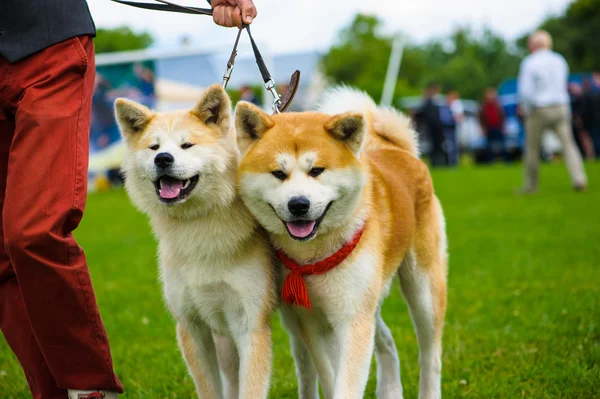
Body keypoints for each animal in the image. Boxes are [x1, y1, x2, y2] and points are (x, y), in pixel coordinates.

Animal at [113, 85, 276, 399]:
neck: (199, 224)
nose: (163, 159)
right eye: (154, 147)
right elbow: (210, 389)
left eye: (187, 145)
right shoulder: (192, 327)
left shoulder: (251, 325)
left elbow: (251, 388)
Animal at [234, 87, 446, 399]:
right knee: (387, 341)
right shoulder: (312, 322)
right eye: (278, 173)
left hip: (422, 289)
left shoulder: (353, 319)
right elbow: (329, 375)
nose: (299, 204)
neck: (313, 257)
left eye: (317, 170)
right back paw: (390, 390)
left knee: (430, 354)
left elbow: (346, 384)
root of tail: (398, 151)